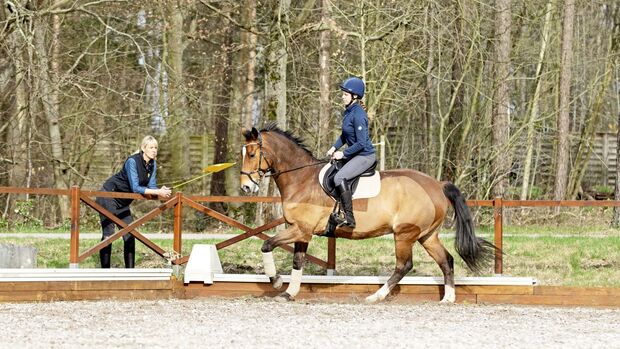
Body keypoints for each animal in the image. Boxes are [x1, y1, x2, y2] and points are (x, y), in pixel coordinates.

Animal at [237, 123, 494, 302]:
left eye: (252, 154)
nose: (246, 188)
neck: (301, 179)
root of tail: (438, 185)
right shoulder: (302, 231)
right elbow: (297, 261)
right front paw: (289, 293)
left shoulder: (301, 229)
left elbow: (267, 245)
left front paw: (276, 282)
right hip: (427, 236)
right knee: (446, 260)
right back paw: (448, 298)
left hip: (405, 234)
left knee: (404, 266)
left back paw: (375, 296)